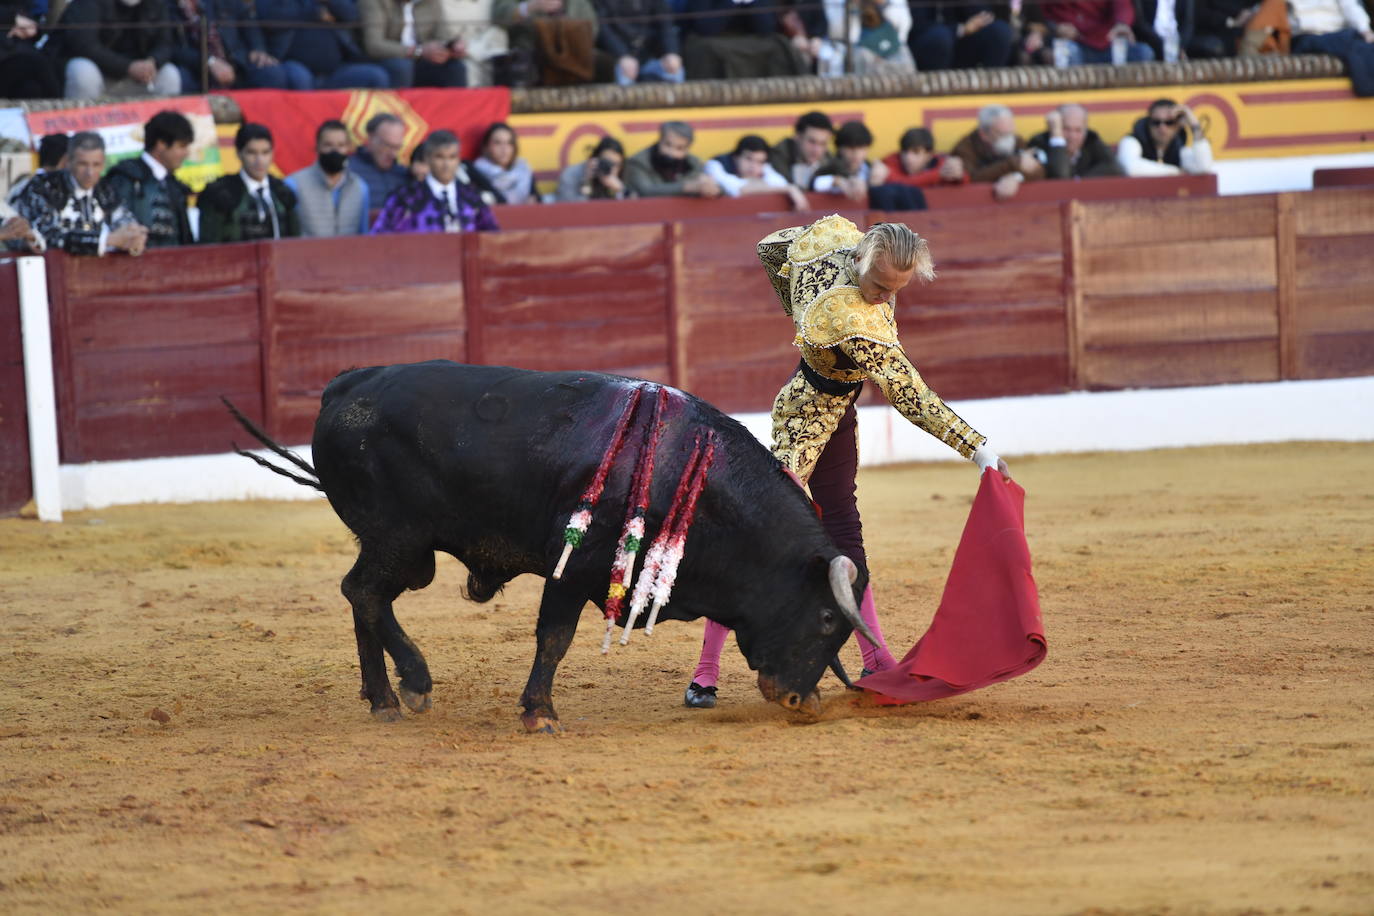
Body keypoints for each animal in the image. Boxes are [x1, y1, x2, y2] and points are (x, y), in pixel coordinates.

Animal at [225, 362, 868, 736]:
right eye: (827, 617)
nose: (803, 702)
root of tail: (346, 386)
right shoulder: (573, 567)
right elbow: (554, 638)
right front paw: (539, 713)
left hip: (395, 547)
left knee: (366, 598)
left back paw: (382, 699)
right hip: (401, 542)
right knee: (362, 591)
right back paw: (414, 684)